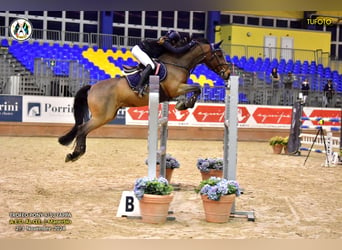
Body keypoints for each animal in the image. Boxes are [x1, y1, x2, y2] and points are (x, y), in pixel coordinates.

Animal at [58, 37, 231, 162]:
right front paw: (184, 104)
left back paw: (76, 154)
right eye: (219, 54)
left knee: (83, 129)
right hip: (102, 116)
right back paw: (74, 155)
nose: (228, 73)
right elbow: (197, 87)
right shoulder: (176, 88)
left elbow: (195, 89)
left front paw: (183, 103)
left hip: (108, 114)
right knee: (82, 129)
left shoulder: (175, 91)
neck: (177, 63)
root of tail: (92, 87)